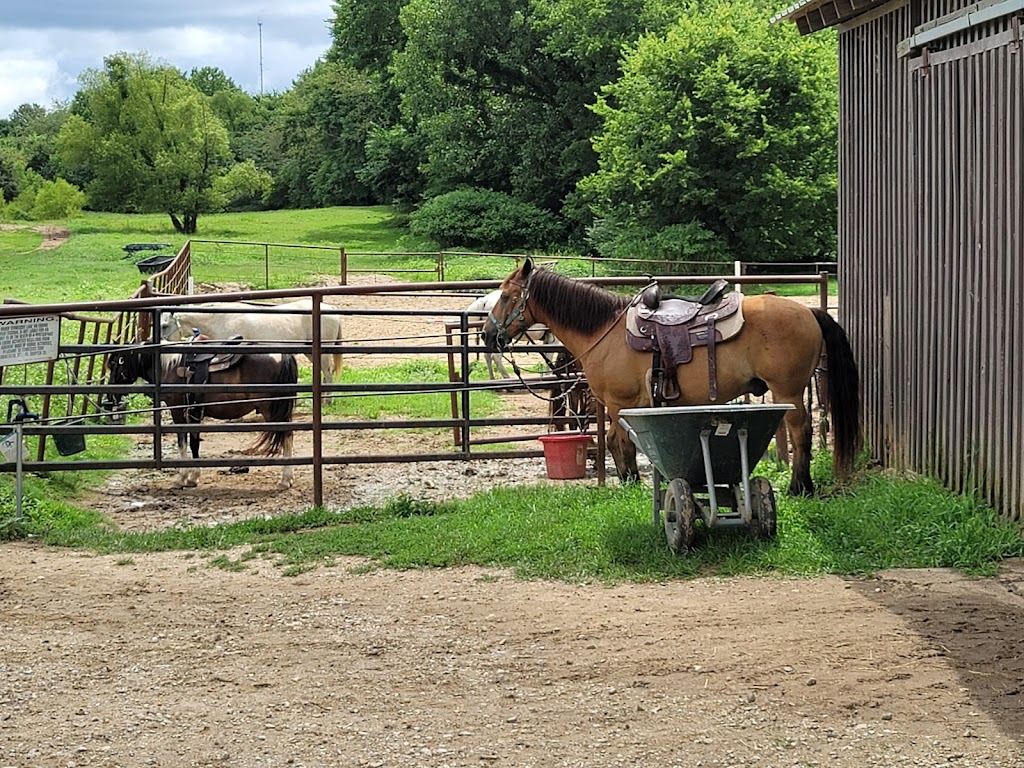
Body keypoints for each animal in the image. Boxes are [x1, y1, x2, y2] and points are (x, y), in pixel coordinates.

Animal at [108, 344, 299, 489]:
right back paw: (287, 479)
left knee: (286, 437)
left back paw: (284, 480)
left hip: (271, 410)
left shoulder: (178, 412)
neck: (169, 366)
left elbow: (183, 443)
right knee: (289, 436)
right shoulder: (194, 413)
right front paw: (193, 477)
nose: (110, 398)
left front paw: (182, 478)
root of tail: (283, 356)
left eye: (116, 365)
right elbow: (194, 443)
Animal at [483, 259, 860, 499]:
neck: (604, 332)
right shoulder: (622, 407)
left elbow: (620, 442)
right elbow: (616, 441)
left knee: (801, 433)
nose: (488, 335)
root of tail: (808, 311)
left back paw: (800, 486)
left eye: (507, 296)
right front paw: (628, 482)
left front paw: (631, 482)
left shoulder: (620, 404)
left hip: (789, 391)